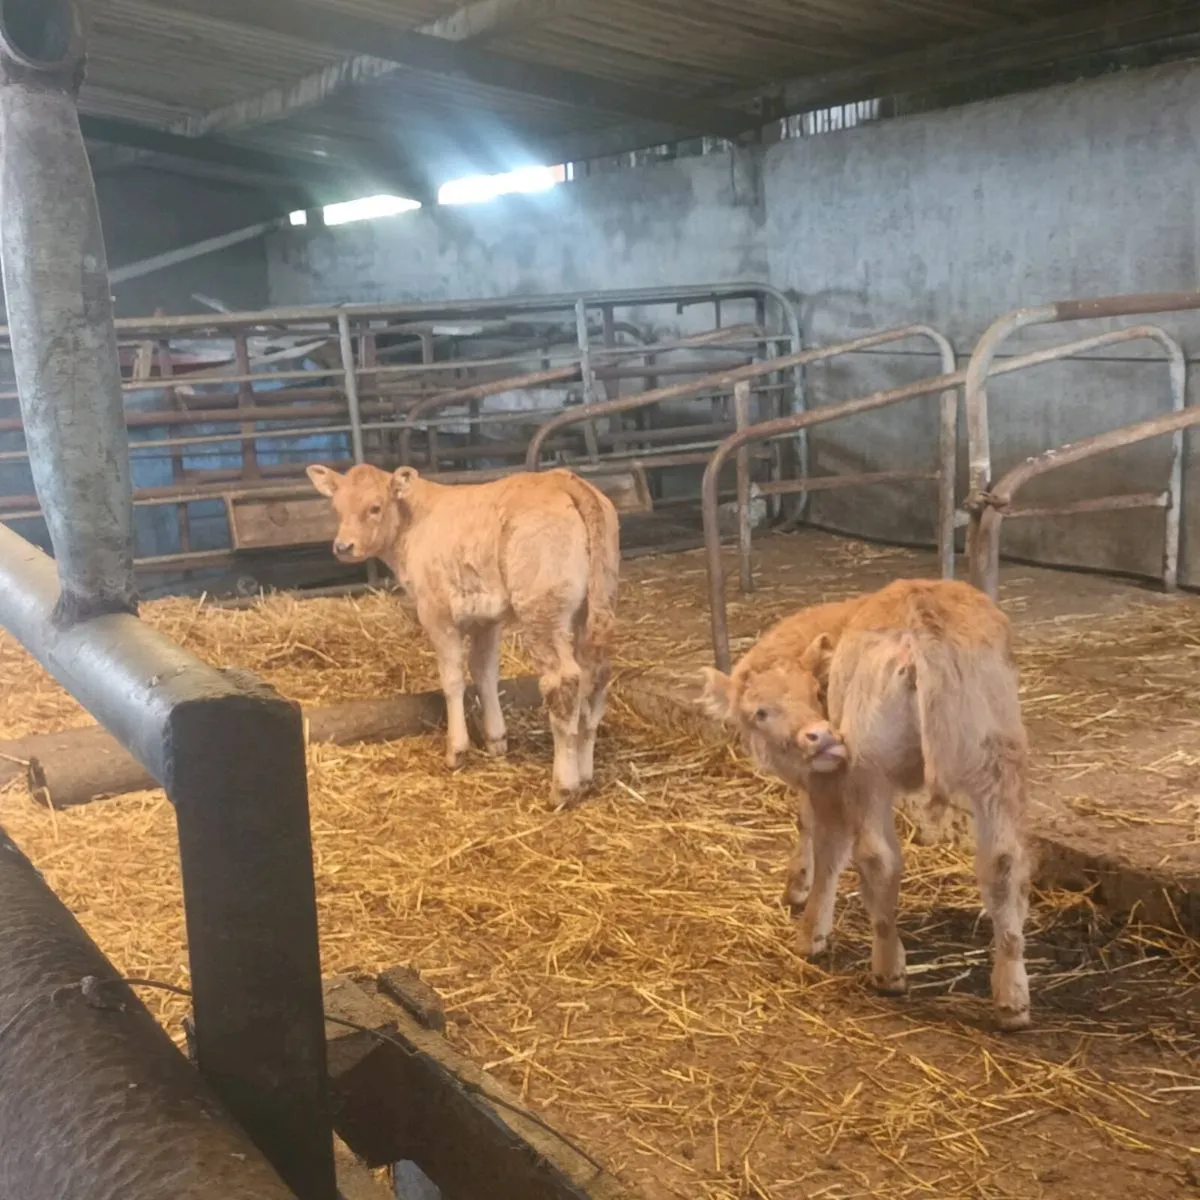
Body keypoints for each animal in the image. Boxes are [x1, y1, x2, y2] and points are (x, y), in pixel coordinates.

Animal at [306, 463, 620, 806]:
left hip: (542, 612)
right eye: (337, 508)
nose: (343, 546)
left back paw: (563, 787)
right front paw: (496, 740)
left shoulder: (436, 612)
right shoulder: (487, 618)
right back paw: (585, 775)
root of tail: (564, 479)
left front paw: (456, 750)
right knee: (596, 676)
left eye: (375, 507)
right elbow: (485, 673)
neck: (413, 521)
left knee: (563, 683)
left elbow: (453, 679)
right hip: (595, 606)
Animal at [701, 579, 1032, 1031]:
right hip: (995, 762)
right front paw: (796, 885)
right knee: (1002, 862)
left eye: (814, 692)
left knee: (876, 857)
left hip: (867, 767)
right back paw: (1012, 996)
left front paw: (811, 930)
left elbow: (826, 843)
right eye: (760, 712)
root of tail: (918, 618)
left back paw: (888, 970)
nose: (821, 735)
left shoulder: (830, 779)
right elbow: (805, 822)